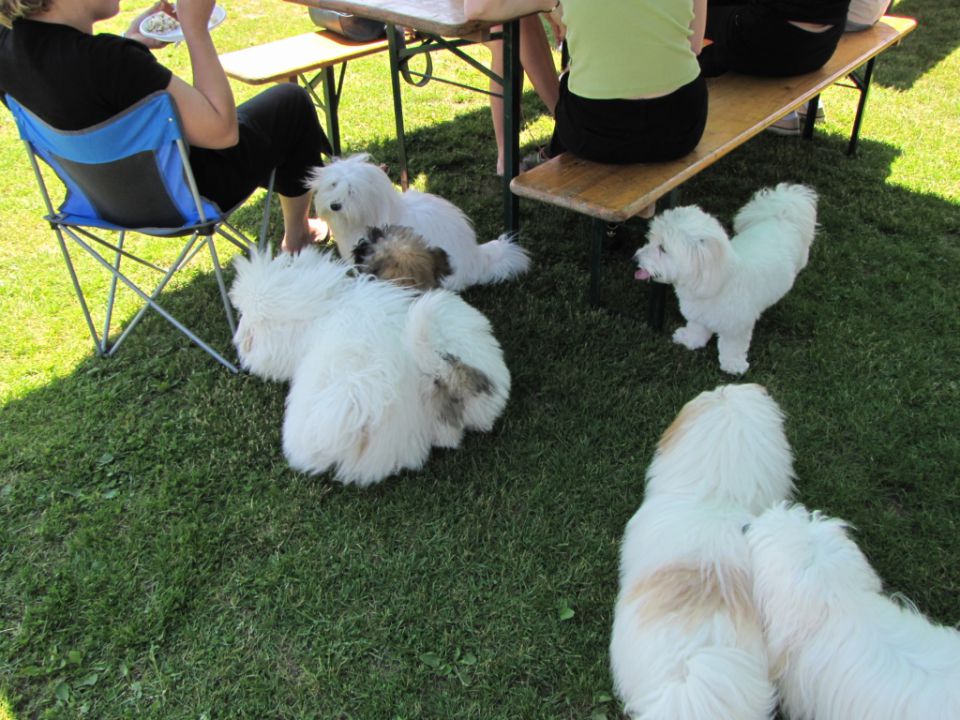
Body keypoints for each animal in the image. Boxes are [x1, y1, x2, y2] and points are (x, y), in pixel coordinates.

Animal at [636, 183, 816, 374]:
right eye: (650, 239)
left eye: (663, 248)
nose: (635, 259)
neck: (718, 280)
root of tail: (781, 214)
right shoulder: (698, 316)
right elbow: (697, 328)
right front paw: (690, 340)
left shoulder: (737, 327)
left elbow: (732, 347)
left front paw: (733, 364)